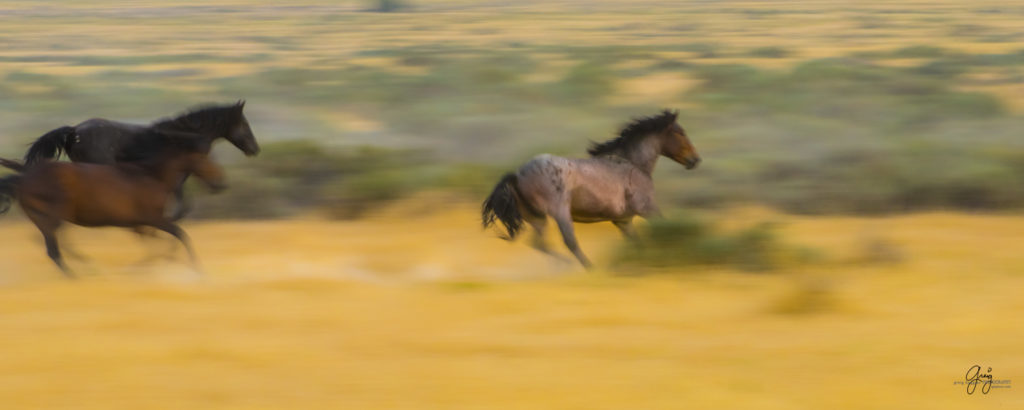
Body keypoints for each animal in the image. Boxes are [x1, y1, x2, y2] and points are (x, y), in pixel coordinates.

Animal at [0, 130, 226, 278]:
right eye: (204, 158)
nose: (219, 183)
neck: (152, 176)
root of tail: (24, 179)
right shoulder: (153, 219)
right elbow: (179, 235)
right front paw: (197, 269)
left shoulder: (140, 225)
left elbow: (158, 245)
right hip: (55, 215)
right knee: (54, 248)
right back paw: (80, 274)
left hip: (43, 217)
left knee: (51, 245)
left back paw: (87, 267)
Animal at [479, 109, 696, 268]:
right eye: (681, 132)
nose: (695, 160)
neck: (633, 164)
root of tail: (516, 174)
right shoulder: (648, 209)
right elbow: (663, 231)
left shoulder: (623, 220)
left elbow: (637, 243)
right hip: (560, 212)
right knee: (570, 242)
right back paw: (587, 269)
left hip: (536, 218)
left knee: (540, 244)